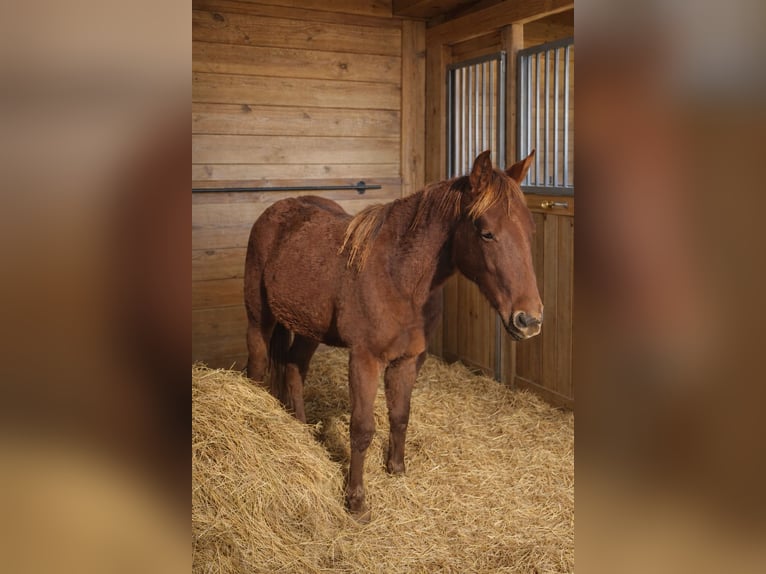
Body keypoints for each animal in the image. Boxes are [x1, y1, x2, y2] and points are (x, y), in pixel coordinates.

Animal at [244, 150, 543, 521]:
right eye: (486, 233)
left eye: (529, 230)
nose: (528, 319)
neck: (398, 277)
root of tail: (275, 211)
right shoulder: (364, 359)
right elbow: (362, 428)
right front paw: (356, 501)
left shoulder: (408, 359)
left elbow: (400, 415)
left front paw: (396, 469)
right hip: (259, 320)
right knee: (257, 370)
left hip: (307, 328)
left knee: (294, 369)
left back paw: (300, 428)